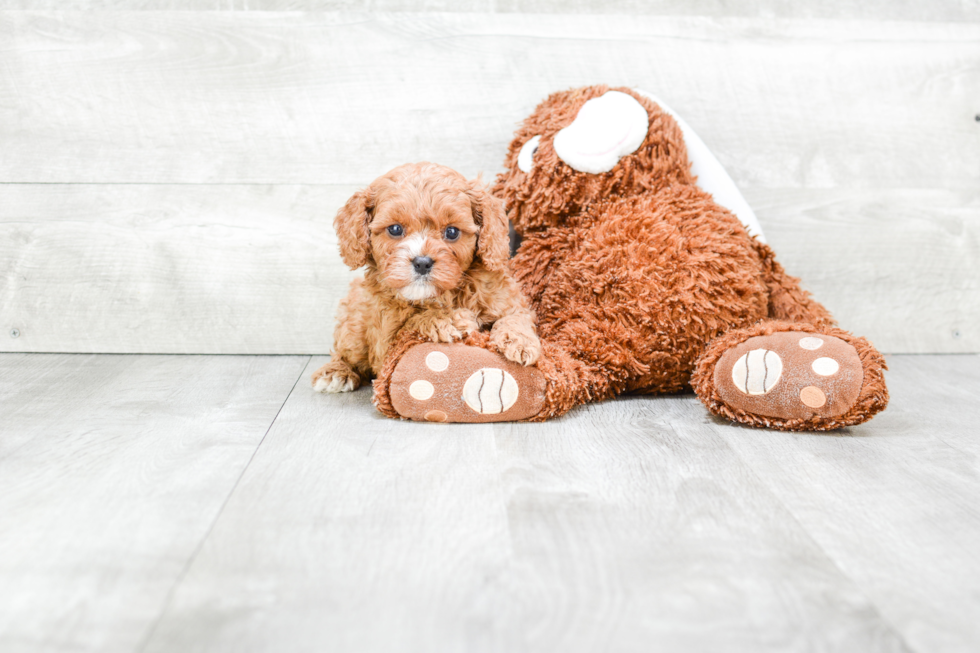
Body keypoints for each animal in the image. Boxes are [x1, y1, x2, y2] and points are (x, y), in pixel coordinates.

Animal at [312, 162, 540, 392]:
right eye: (395, 229)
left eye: (452, 232)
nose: (422, 262)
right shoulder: (385, 342)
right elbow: (410, 323)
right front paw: (451, 318)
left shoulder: (507, 299)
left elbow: (516, 317)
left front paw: (521, 341)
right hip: (354, 322)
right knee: (346, 351)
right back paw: (336, 372)